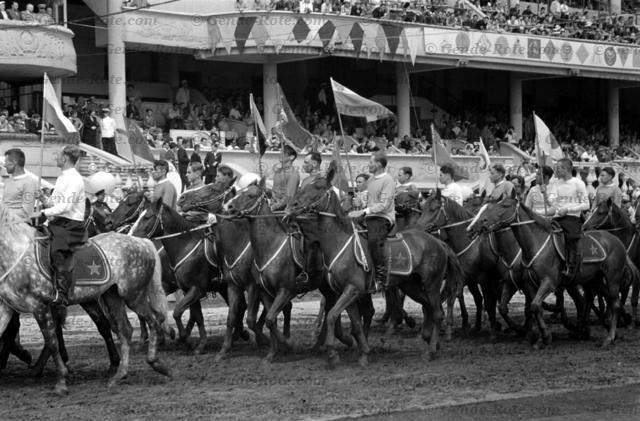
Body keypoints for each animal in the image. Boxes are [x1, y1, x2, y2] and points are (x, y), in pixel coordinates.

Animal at [0, 203, 171, 394]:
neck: (16, 252)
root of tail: (141, 242)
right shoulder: (6, 307)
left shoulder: (40, 306)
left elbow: (52, 342)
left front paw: (61, 381)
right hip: (112, 296)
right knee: (126, 330)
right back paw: (119, 375)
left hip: (133, 296)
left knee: (154, 321)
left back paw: (156, 364)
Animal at [286, 169, 464, 362]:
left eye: (318, 187)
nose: (292, 205)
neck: (339, 241)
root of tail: (439, 243)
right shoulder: (347, 292)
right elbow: (355, 324)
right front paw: (363, 352)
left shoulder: (353, 289)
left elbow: (332, 315)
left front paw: (333, 353)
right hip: (411, 285)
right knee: (429, 307)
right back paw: (429, 339)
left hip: (432, 283)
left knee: (437, 312)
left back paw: (430, 350)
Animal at [470, 194, 636, 348]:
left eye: (504, 205)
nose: (478, 225)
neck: (535, 243)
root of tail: (616, 241)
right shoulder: (525, 284)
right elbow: (528, 307)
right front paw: (539, 337)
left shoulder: (548, 282)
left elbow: (534, 306)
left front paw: (542, 335)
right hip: (594, 280)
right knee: (601, 301)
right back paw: (600, 331)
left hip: (612, 278)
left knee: (614, 304)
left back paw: (608, 338)